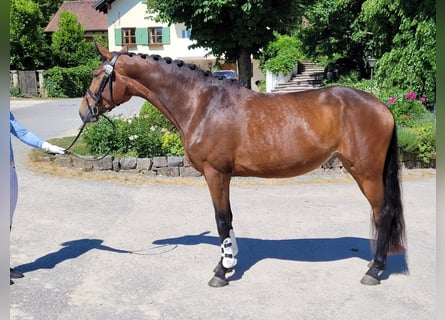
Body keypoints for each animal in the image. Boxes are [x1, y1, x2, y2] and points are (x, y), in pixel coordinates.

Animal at [78, 43, 404, 288]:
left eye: (96, 75)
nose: (84, 112)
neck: (202, 104)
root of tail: (383, 106)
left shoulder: (216, 173)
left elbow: (222, 219)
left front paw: (222, 272)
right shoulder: (223, 176)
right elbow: (229, 219)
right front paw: (228, 262)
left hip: (366, 172)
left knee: (383, 212)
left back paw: (374, 270)